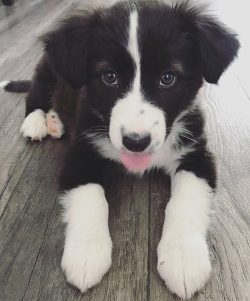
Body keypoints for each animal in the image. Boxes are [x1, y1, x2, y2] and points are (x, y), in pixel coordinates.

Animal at [0, 0, 240, 298]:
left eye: (168, 77)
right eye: (109, 77)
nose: (136, 142)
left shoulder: (196, 153)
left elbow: (186, 199)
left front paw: (183, 259)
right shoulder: (81, 153)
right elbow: (90, 197)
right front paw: (86, 255)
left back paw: (55, 120)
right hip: (48, 70)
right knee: (35, 95)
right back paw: (37, 122)